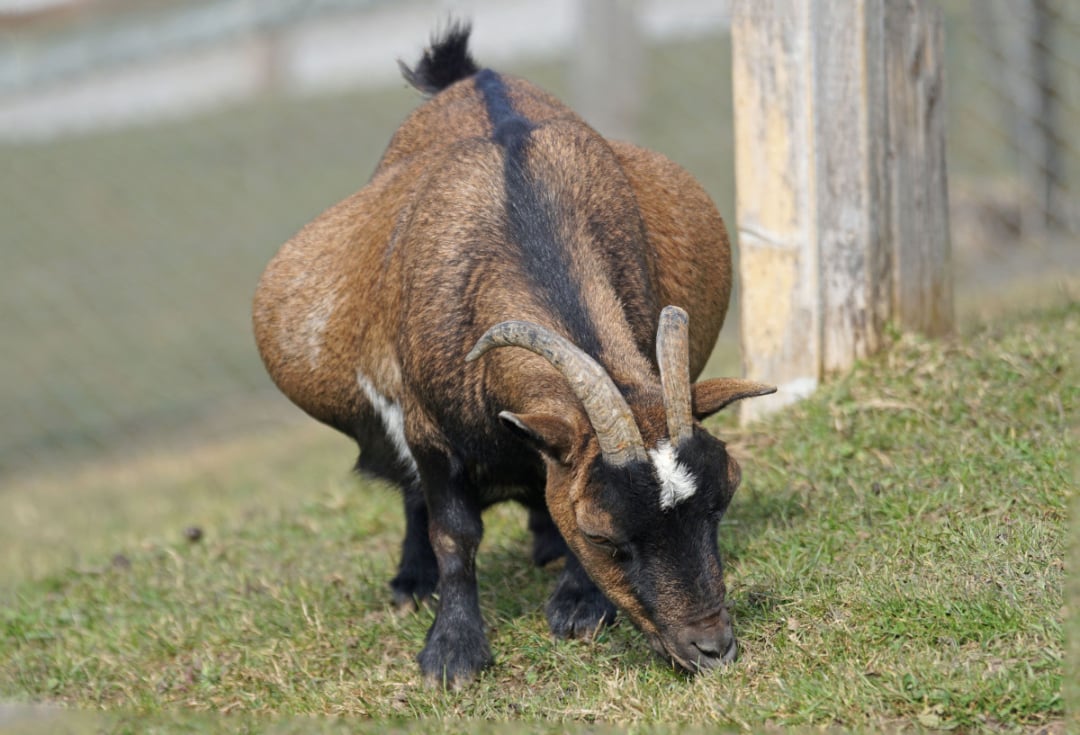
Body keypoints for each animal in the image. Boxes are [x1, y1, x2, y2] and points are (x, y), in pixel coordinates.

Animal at [253, 24, 775, 686]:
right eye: (606, 537)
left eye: (720, 505)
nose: (712, 649)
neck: (522, 213)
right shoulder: (427, 429)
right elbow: (454, 533)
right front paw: (452, 651)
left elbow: (549, 489)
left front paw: (578, 604)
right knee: (414, 495)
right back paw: (411, 580)